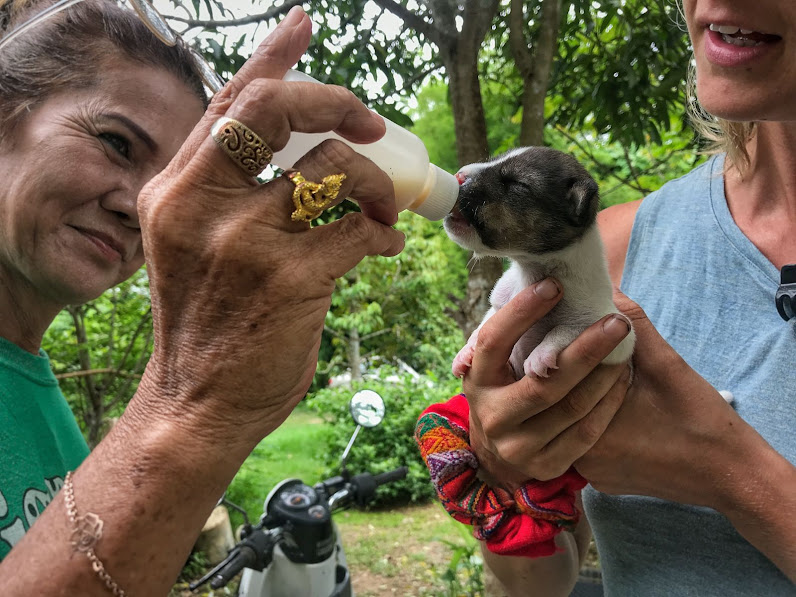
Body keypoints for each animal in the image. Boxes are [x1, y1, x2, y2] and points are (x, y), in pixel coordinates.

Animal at [442, 146, 636, 378]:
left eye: (517, 183)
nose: (458, 175)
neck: (529, 270)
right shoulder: (498, 305)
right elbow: (484, 324)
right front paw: (466, 350)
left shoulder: (617, 332)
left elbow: (566, 329)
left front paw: (540, 354)